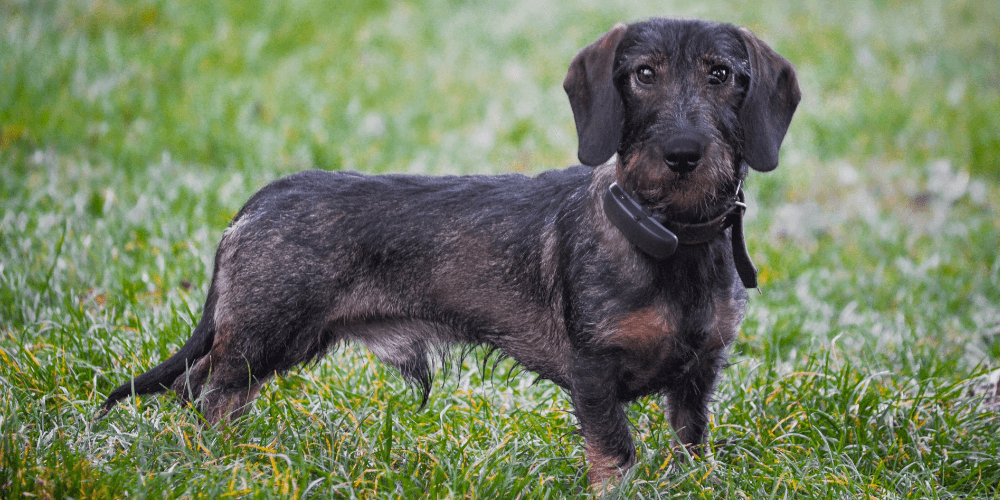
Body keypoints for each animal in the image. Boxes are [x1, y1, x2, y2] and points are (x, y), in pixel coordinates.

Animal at [101, 17, 800, 486]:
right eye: (644, 74)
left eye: (720, 75)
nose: (683, 153)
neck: (669, 237)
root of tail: (258, 203)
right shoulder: (593, 374)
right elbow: (615, 456)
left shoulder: (698, 376)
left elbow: (692, 448)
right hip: (264, 334)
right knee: (206, 393)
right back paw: (215, 465)